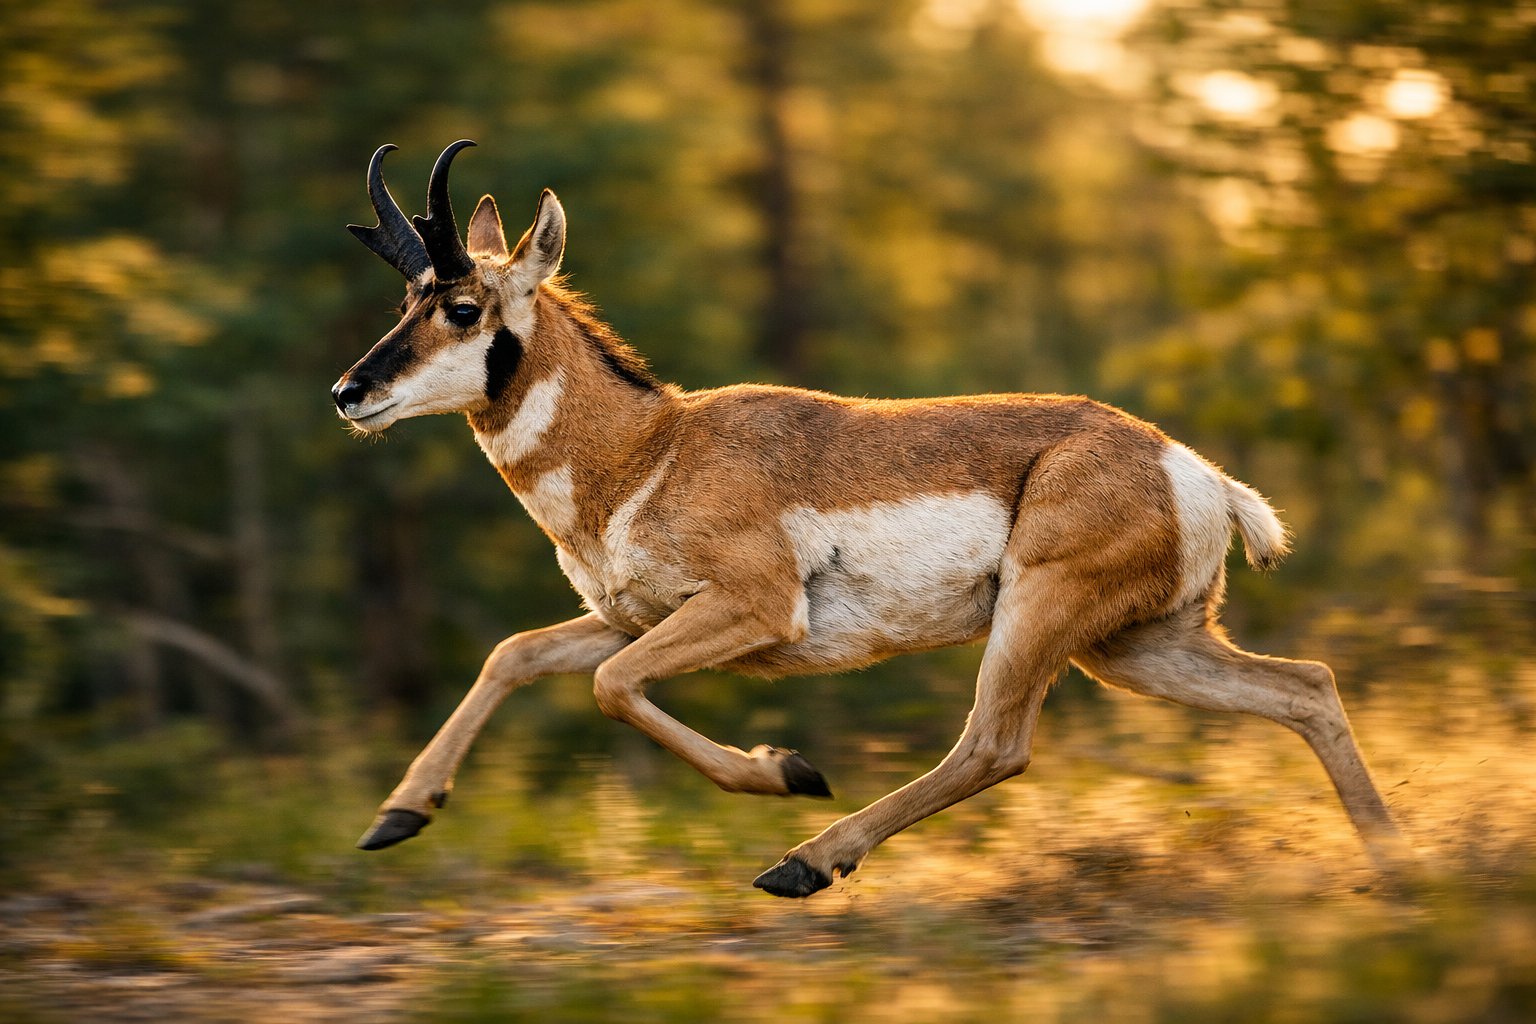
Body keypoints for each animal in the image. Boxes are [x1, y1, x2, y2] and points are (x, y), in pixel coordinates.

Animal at [333, 140, 1409, 897]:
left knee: (993, 744)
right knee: (1305, 688)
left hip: (1044, 618)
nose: (349, 392)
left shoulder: (749, 610)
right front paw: (396, 817)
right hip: (1137, 648)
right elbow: (515, 654)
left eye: (463, 306)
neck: (651, 447)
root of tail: (1187, 467)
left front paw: (787, 769)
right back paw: (1397, 872)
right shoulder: (630, 615)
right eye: (406, 298)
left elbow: (610, 687)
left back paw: (803, 860)